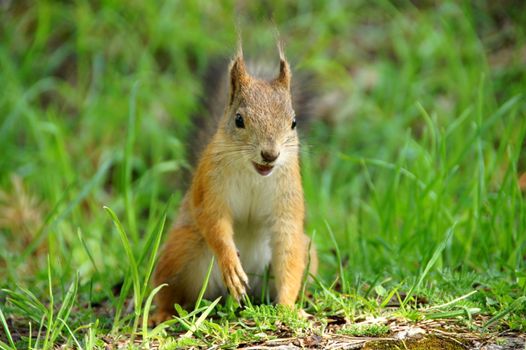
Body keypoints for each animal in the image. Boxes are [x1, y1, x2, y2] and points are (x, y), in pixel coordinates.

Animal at [151, 43, 320, 326]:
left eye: (293, 122)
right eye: (239, 120)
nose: (270, 154)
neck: (255, 173)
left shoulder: (287, 196)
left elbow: (288, 246)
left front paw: (287, 307)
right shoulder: (210, 187)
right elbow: (214, 221)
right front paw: (230, 265)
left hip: (308, 254)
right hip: (179, 251)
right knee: (168, 291)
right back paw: (162, 313)